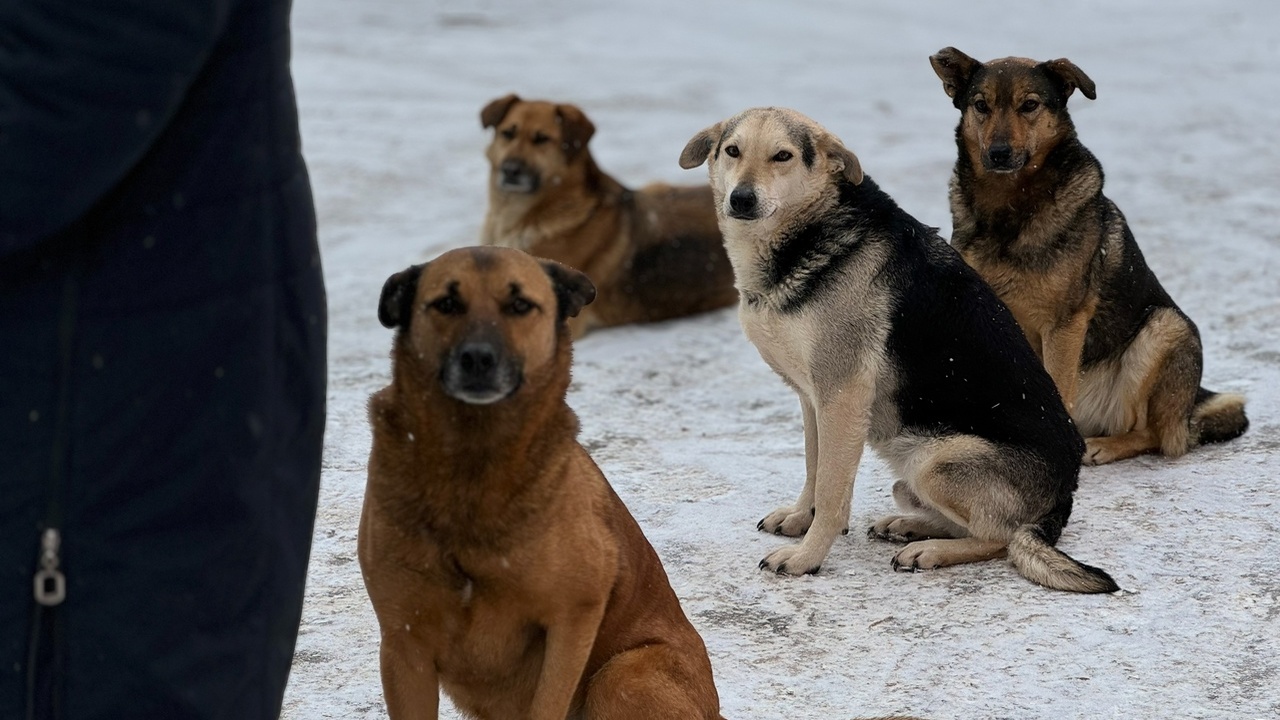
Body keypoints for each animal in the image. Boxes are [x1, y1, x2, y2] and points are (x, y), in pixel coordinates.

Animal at [355, 245, 727, 717]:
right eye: (446, 304)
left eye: (520, 305)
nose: (478, 359)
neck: (473, 466)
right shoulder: (403, 643)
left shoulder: (574, 618)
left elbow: (549, 699)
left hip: (622, 673)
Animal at [680, 105, 1121, 589]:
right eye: (732, 151)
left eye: (783, 156)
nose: (741, 199)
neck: (809, 232)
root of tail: (1063, 496)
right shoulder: (813, 399)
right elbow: (815, 468)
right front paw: (800, 518)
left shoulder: (842, 397)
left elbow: (831, 492)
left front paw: (807, 557)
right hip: (911, 475)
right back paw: (909, 526)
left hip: (937, 460)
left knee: (1003, 538)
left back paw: (930, 550)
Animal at [931, 49, 1249, 466]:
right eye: (981, 106)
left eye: (1029, 105)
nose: (998, 154)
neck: (1009, 207)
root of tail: (1192, 403)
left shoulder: (1065, 324)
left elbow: (1057, 389)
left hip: (1164, 328)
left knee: (1156, 435)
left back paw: (1103, 446)